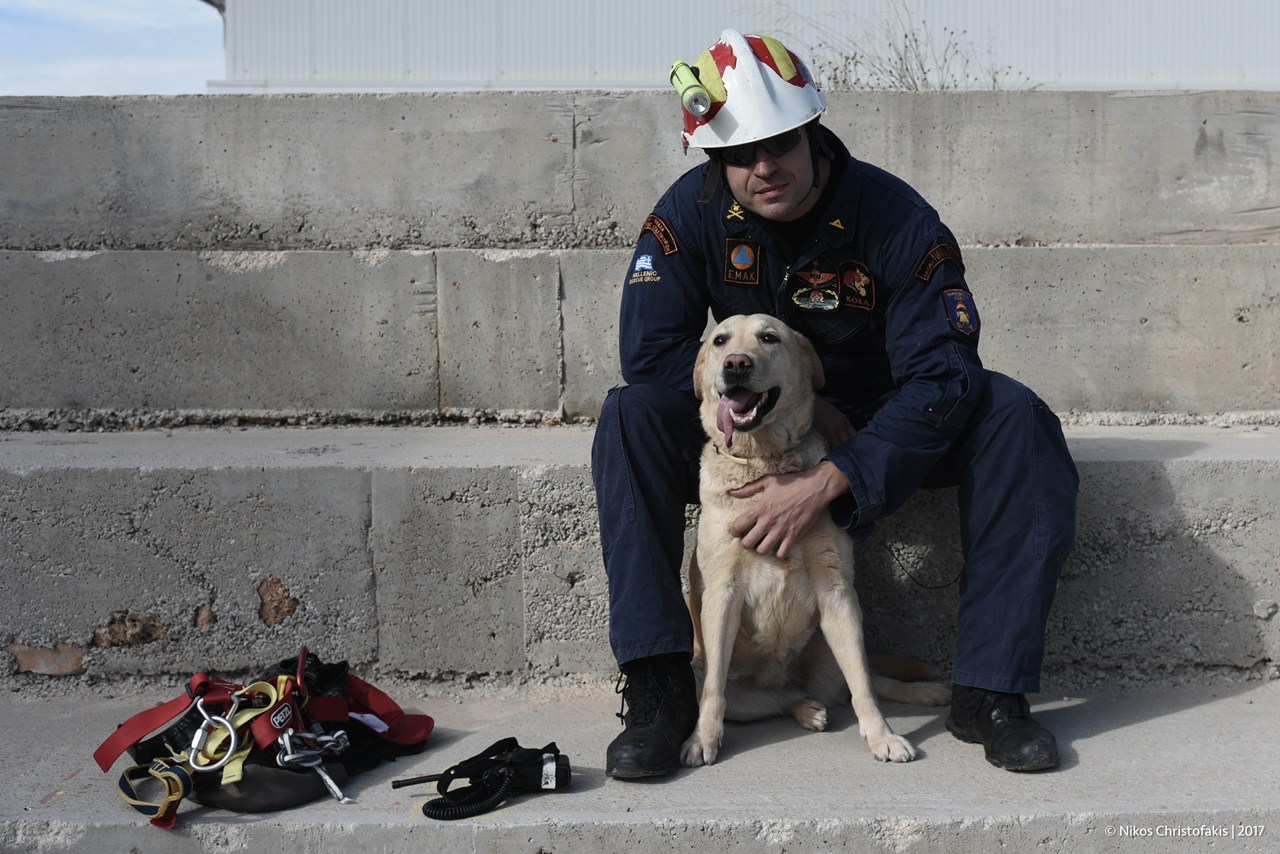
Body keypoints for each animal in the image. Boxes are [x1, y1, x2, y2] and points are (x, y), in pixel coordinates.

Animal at [680, 313, 952, 768]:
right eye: (720, 341)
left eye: (769, 337)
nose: (736, 364)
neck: (765, 462)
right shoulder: (722, 594)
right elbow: (715, 692)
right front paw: (703, 738)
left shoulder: (837, 590)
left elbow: (863, 685)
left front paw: (883, 736)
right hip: (702, 672)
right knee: (774, 698)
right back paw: (807, 710)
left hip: (831, 645)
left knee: (863, 680)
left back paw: (922, 692)